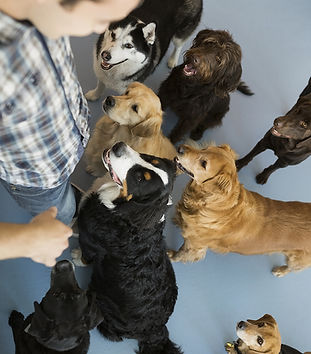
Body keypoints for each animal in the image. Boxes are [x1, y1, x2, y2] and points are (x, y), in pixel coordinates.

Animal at [76, 142, 183, 354]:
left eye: (140, 179)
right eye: (151, 159)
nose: (119, 146)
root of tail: (156, 330)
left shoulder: (88, 239)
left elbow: (85, 254)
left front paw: (76, 257)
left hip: (101, 299)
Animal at [171, 141, 311, 276]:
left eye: (204, 163)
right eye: (205, 149)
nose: (180, 148)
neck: (217, 207)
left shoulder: (194, 245)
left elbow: (181, 253)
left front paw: (171, 256)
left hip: (296, 260)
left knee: (291, 268)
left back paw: (280, 271)